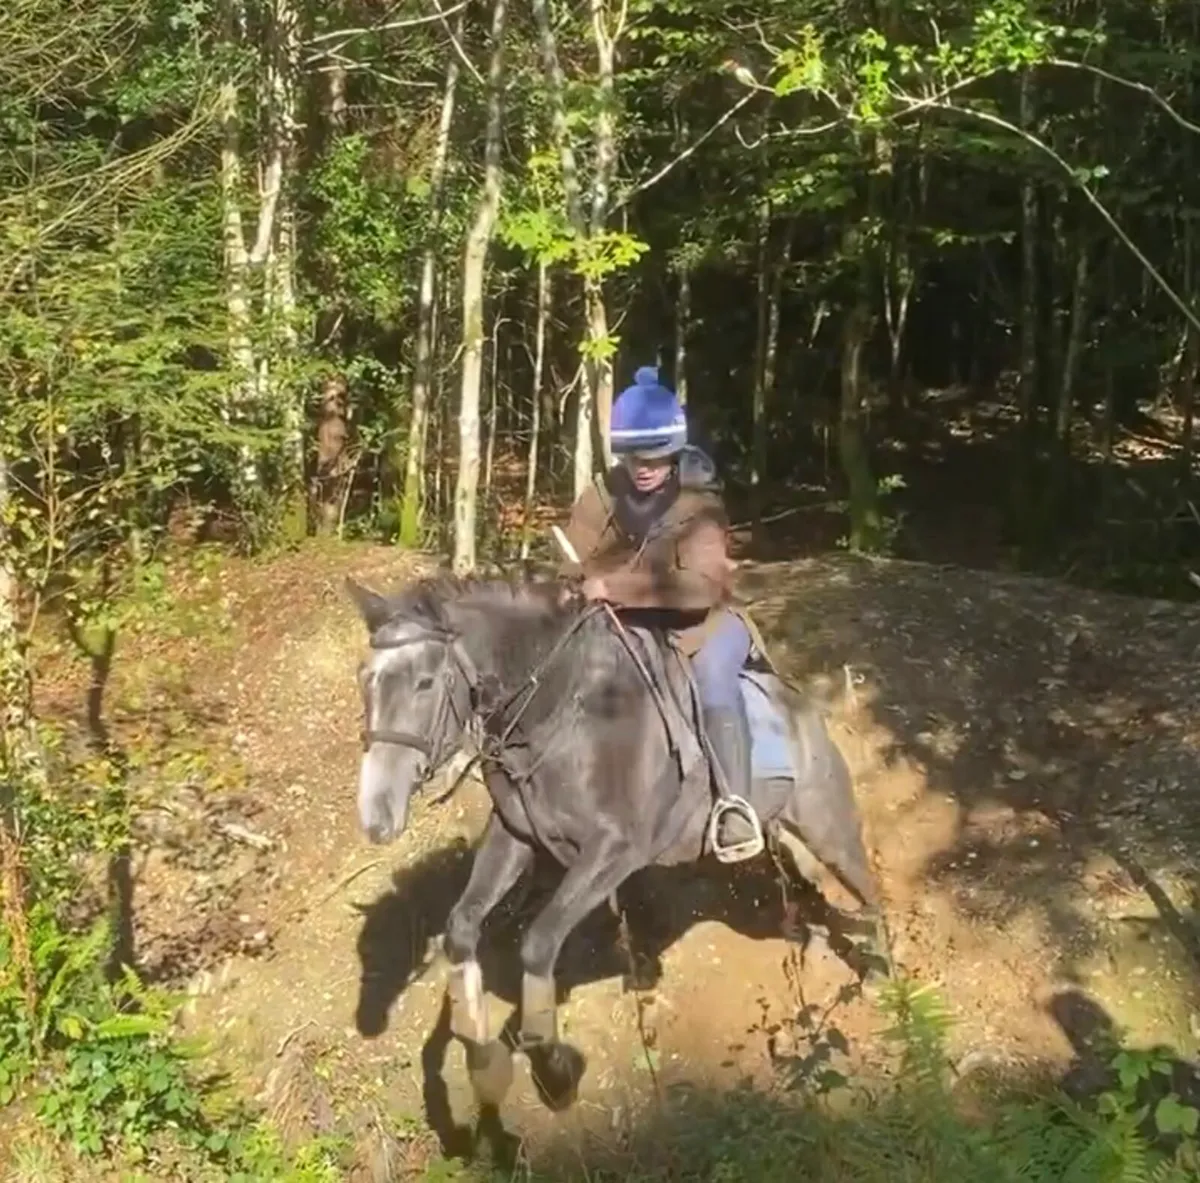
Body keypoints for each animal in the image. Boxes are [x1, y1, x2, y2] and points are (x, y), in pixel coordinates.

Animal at [346, 573, 884, 1109]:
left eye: (425, 682)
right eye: (364, 678)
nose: (376, 816)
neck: (559, 716)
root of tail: (808, 710)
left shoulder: (612, 852)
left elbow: (538, 944)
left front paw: (553, 1067)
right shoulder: (515, 833)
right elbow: (461, 928)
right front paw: (483, 1063)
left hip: (828, 829)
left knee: (870, 892)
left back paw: (883, 978)